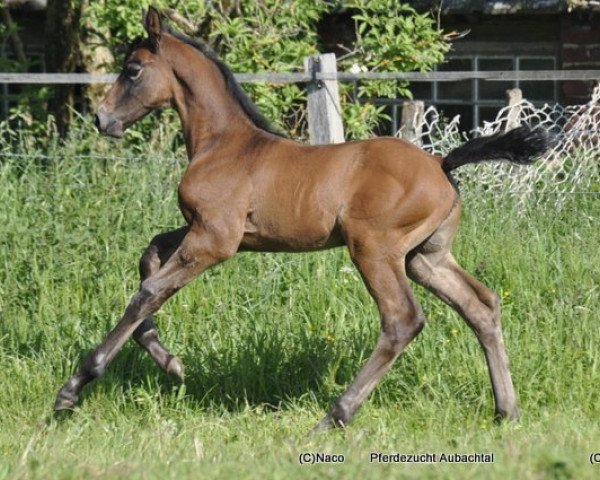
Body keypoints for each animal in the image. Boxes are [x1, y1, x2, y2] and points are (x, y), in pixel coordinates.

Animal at [54, 7, 552, 430]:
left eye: (133, 70)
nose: (101, 119)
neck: (224, 144)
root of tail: (441, 164)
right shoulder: (206, 229)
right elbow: (150, 257)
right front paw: (171, 362)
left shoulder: (216, 240)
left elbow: (148, 291)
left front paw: (75, 386)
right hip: (425, 257)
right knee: (481, 306)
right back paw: (507, 411)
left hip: (374, 250)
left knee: (402, 320)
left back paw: (335, 415)